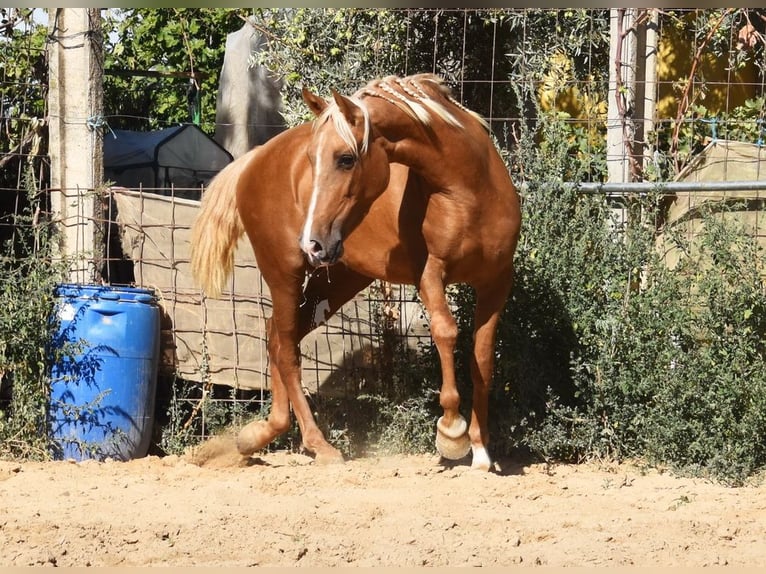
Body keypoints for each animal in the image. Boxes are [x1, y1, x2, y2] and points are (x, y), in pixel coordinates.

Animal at [194, 74, 520, 472]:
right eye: (311, 159)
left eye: (345, 159)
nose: (313, 241)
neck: (468, 189)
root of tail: (255, 159)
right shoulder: (430, 275)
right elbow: (446, 332)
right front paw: (451, 433)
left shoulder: (496, 282)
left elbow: (483, 359)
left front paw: (480, 449)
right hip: (284, 273)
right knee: (285, 348)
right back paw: (319, 444)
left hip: (337, 282)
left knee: (278, 338)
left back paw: (260, 434)